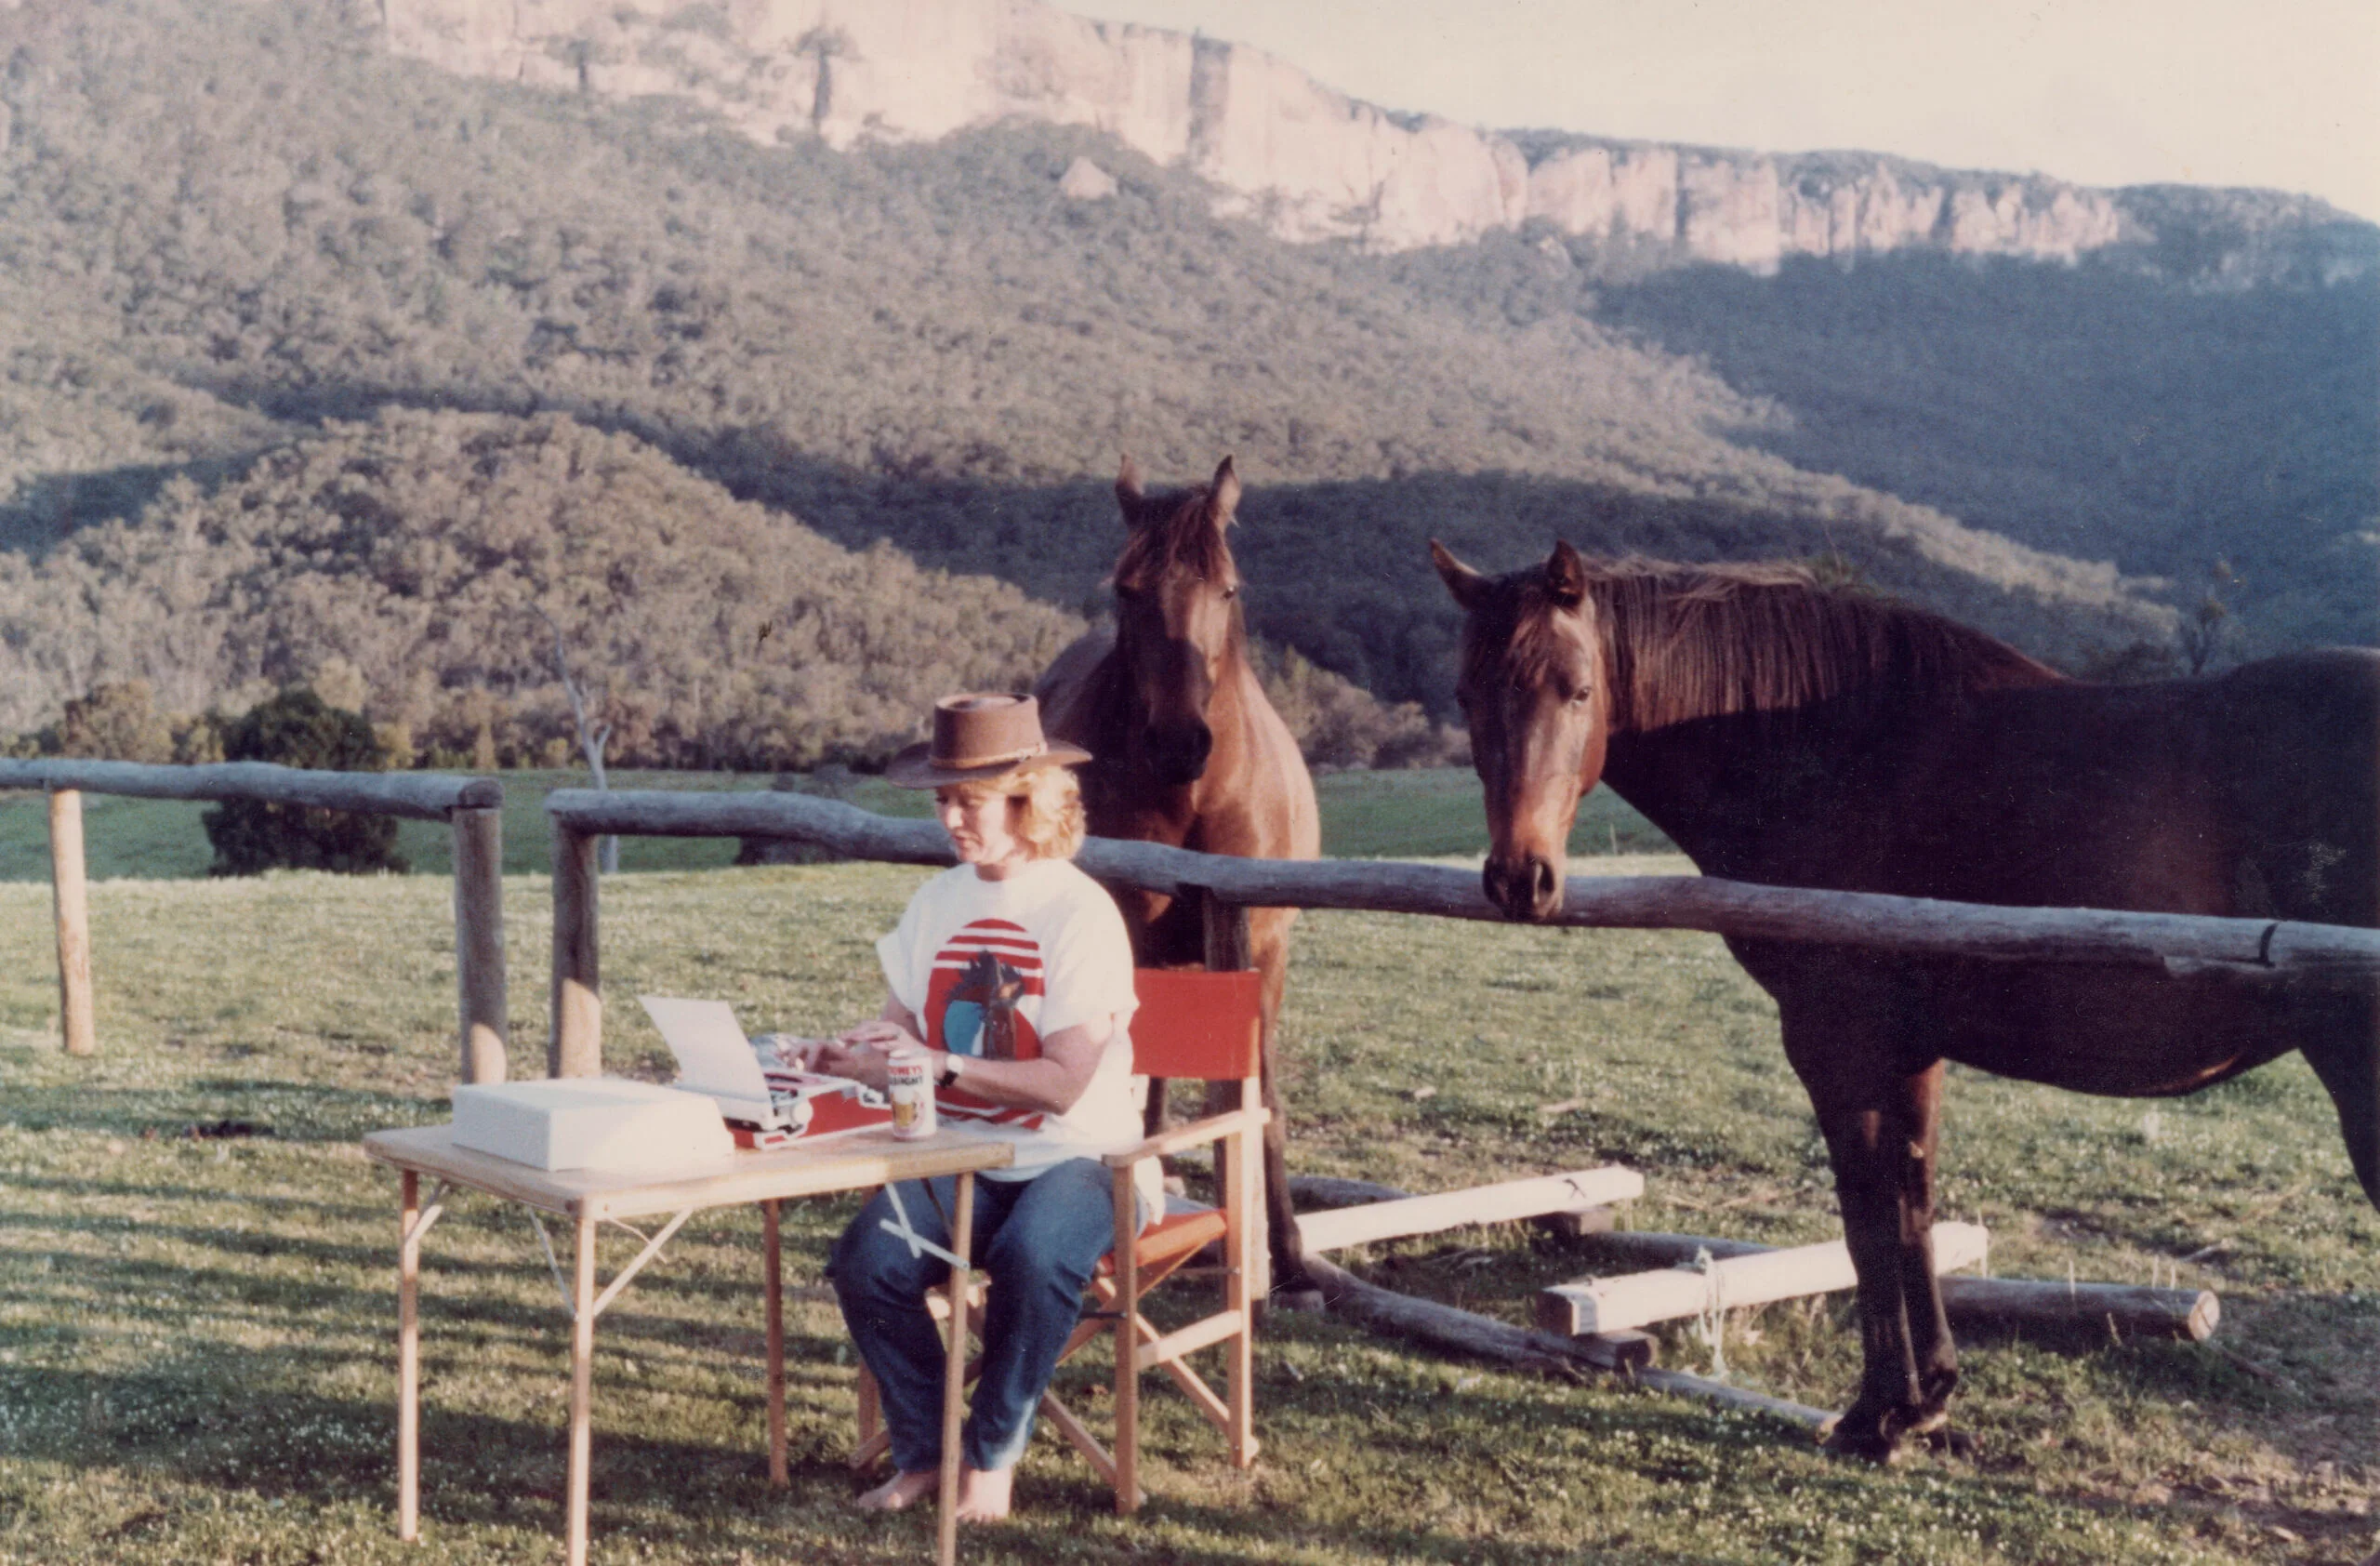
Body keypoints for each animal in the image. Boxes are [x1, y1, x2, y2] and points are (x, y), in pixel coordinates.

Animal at [1036, 455, 1325, 1300]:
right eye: (1127, 590)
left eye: (1227, 589)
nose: (1178, 743)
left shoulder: (1261, 950)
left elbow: (1262, 1100)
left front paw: (1290, 1256)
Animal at [1430, 539, 2379, 1460]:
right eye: (1466, 693)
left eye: (1579, 689)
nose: (1519, 878)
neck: (1832, 749)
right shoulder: (1910, 1051)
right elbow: (1912, 1206)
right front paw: (1927, 1402)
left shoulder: (1834, 1039)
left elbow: (1866, 1215)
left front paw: (1874, 1417)